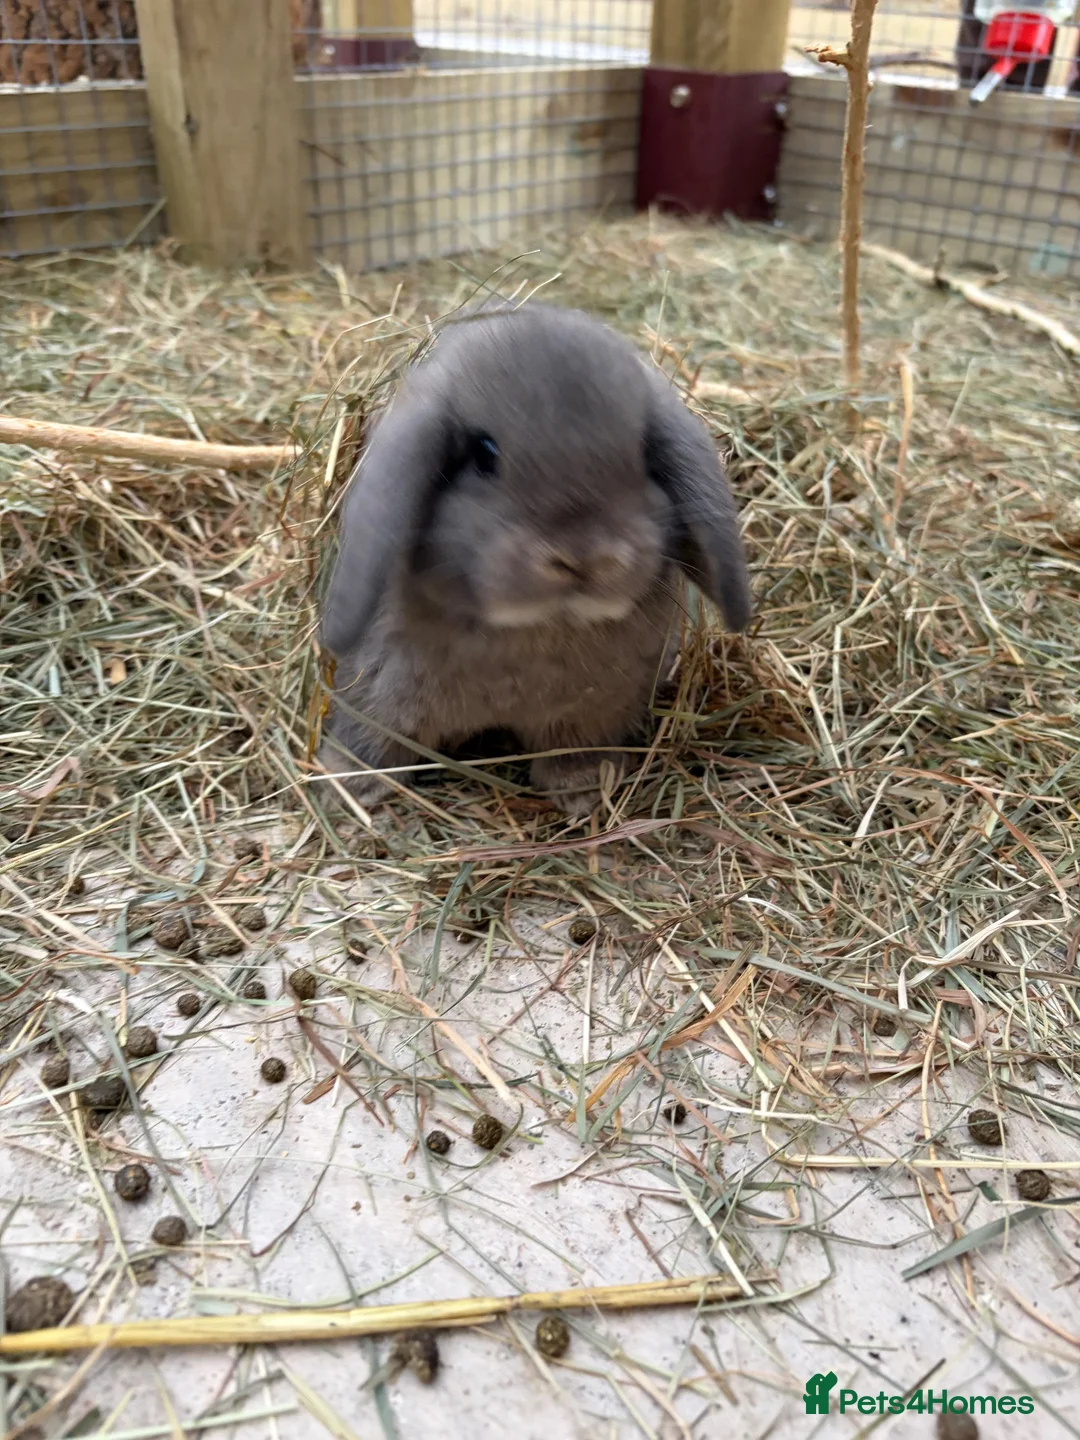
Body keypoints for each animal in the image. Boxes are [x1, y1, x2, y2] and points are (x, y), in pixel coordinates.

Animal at [317, 303, 752, 817]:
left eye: (643, 455)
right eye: (485, 454)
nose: (585, 558)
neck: (538, 629)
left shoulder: (592, 714)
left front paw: (583, 789)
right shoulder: (376, 689)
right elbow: (372, 739)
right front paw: (350, 787)